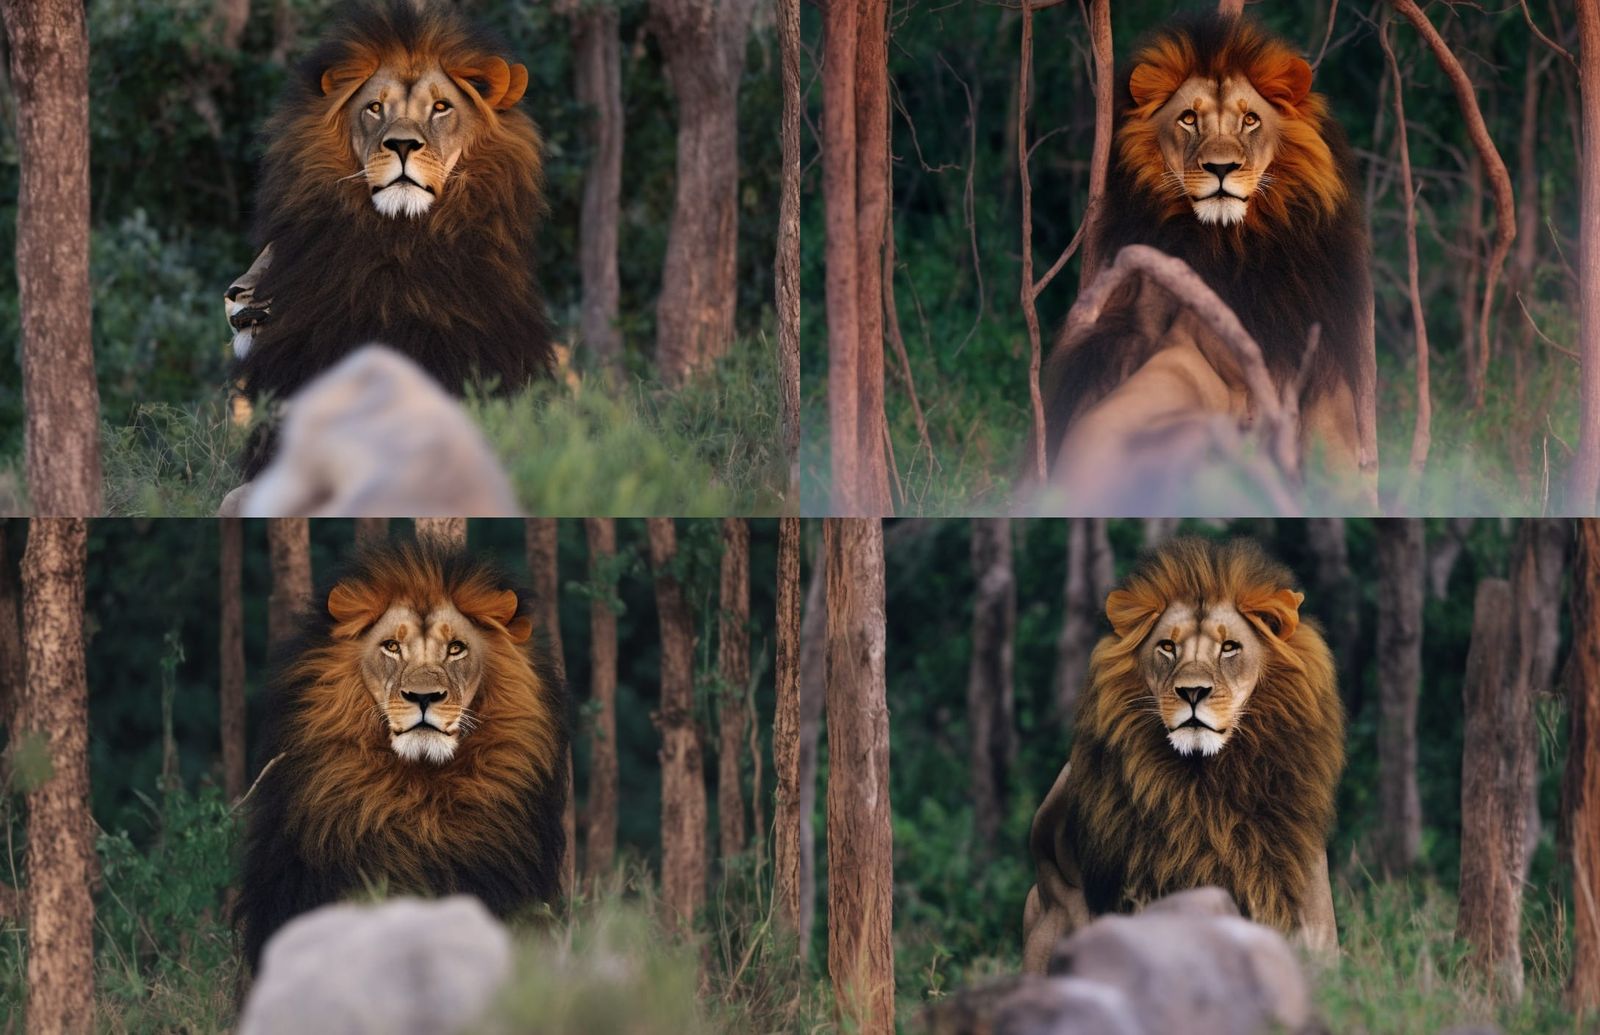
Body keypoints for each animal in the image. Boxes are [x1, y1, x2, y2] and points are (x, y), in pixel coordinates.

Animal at [1041, 14, 1370, 508]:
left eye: (1250, 119)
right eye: (1188, 118)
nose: (1220, 168)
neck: (1242, 245)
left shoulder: (1321, 348)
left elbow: (1337, 447)